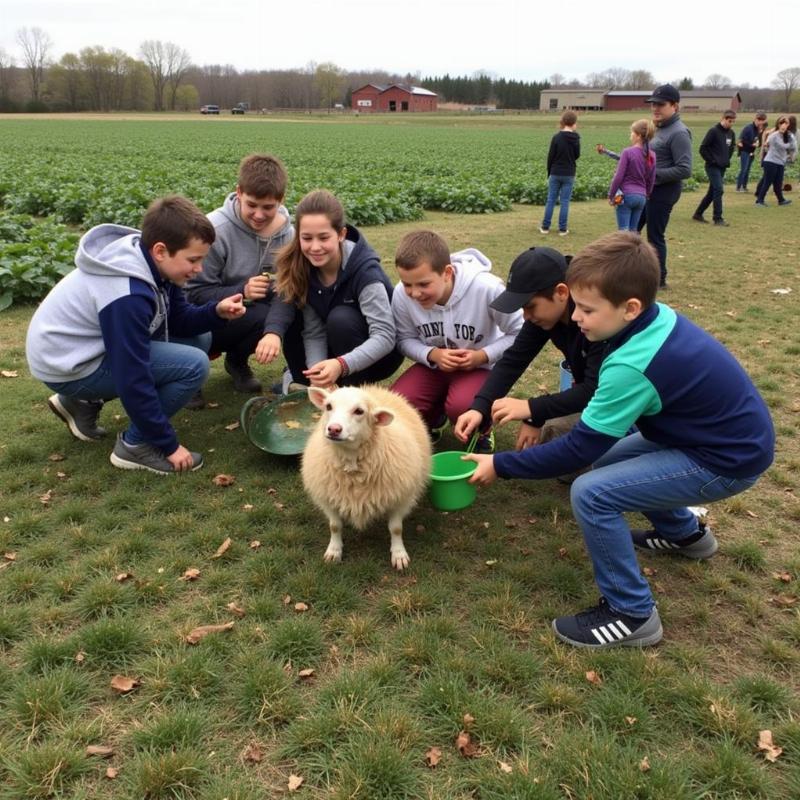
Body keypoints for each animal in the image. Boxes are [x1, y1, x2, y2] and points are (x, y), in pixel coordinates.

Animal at [304, 386, 434, 568]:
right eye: (328, 406)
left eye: (359, 411)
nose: (334, 429)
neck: (351, 460)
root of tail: (373, 388)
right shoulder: (328, 498)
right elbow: (335, 526)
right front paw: (334, 551)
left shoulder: (400, 498)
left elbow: (396, 529)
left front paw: (398, 553)